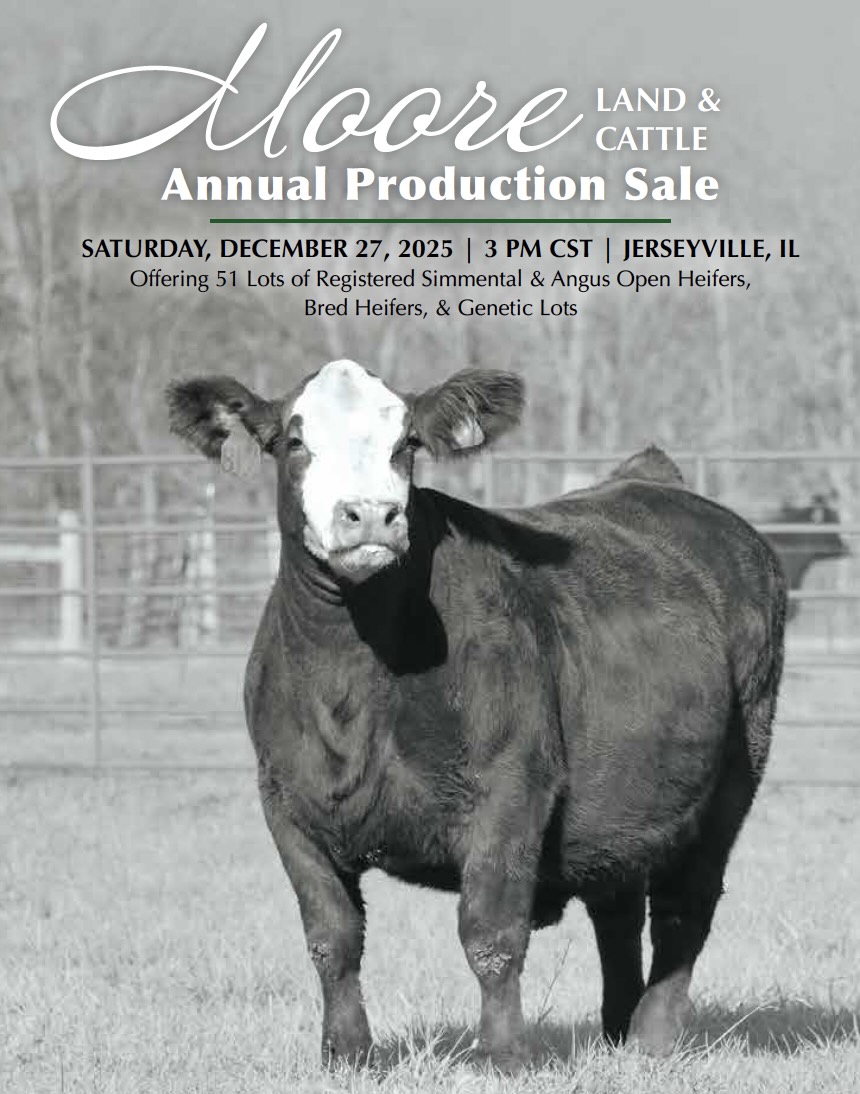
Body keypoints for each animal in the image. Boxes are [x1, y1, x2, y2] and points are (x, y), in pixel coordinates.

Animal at [167, 360, 786, 1071]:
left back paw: (652, 1038)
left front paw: (504, 1054)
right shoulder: (286, 802)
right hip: (623, 800)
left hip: (735, 776)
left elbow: (491, 932)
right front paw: (346, 1053)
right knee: (619, 907)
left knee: (686, 906)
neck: (352, 678)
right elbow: (332, 937)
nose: (371, 514)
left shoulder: (512, 786)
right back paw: (616, 1031)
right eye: (295, 442)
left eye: (407, 443)